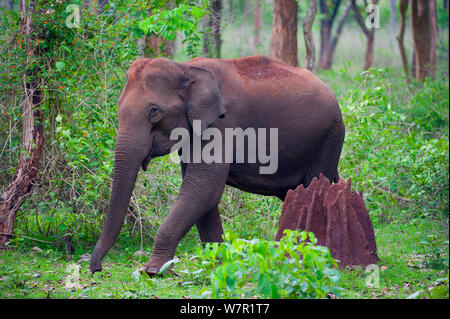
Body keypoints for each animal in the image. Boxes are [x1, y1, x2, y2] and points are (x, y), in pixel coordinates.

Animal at [89, 54, 346, 276]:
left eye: (154, 111)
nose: (97, 269)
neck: (183, 67)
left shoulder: (223, 124)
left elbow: (202, 189)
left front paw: (152, 270)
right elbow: (202, 194)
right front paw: (218, 263)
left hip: (329, 138)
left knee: (314, 187)